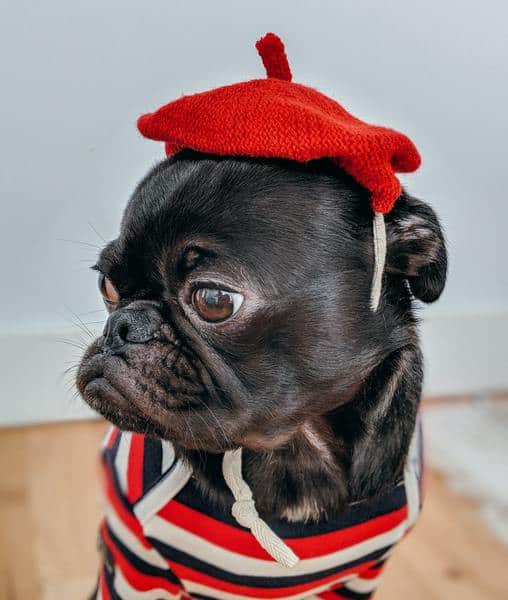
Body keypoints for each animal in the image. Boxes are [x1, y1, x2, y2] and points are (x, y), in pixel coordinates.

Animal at [75, 149, 444, 596]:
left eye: (214, 300)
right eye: (106, 285)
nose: (121, 325)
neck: (294, 447)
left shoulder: (358, 581)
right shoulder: (135, 568)